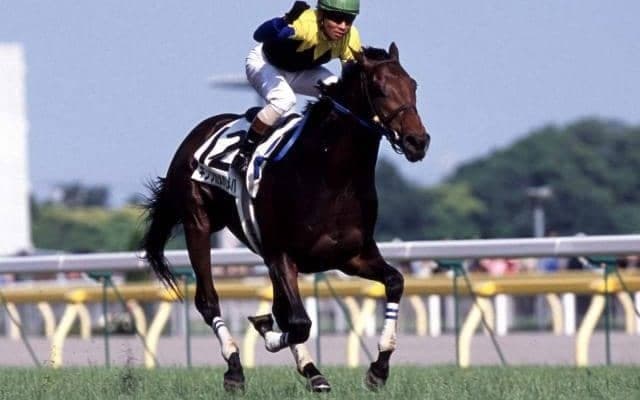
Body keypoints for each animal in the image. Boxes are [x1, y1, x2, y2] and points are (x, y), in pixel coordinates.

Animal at [141, 42, 429, 392]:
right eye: (379, 88)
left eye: (413, 85)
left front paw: (379, 369)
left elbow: (395, 282)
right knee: (208, 301)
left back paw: (311, 370)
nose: (418, 141)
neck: (330, 176)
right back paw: (235, 369)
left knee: (280, 309)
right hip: (198, 224)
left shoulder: (352, 256)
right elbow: (300, 322)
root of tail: (199, 132)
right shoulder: (283, 255)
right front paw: (265, 335)